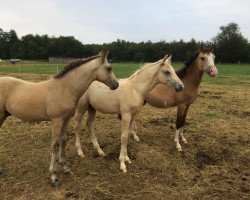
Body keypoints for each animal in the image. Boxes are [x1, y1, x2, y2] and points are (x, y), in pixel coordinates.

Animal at [0, 50, 118, 187]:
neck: (65, 88)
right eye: (109, 68)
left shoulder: (66, 119)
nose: (116, 85)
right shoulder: (56, 120)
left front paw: (65, 167)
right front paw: (53, 176)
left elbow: (63, 140)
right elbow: (55, 144)